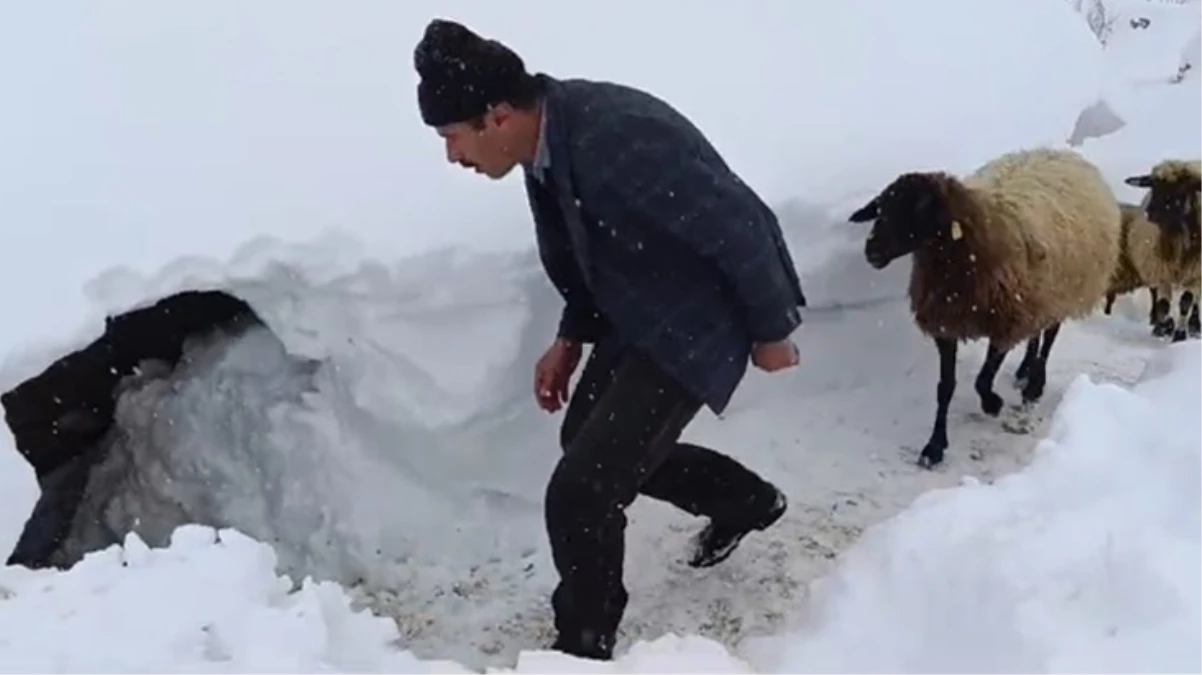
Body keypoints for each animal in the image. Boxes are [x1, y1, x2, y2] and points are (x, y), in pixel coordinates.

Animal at [851, 145, 1120, 468]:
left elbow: (982, 379)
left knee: (1050, 334)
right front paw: (934, 447)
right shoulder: (946, 324)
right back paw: (1024, 371)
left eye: (919, 209)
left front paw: (993, 403)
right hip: (1040, 295)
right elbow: (945, 387)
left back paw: (1034, 384)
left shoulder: (1007, 321)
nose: (872, 250)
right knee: (1037, 333)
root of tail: (1060, 152)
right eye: (882, 208)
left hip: (1065, 290)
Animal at [1115, 159, 1202, 338]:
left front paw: (1179, 334)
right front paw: (1164, 327)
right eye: (1153, 187)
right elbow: (1163, 304)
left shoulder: (1195, 270)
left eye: (1180, 188)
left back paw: (1194, 325)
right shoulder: (1161, 269)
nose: (1149, 213)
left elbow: (1186, 301)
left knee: (1196, 300)